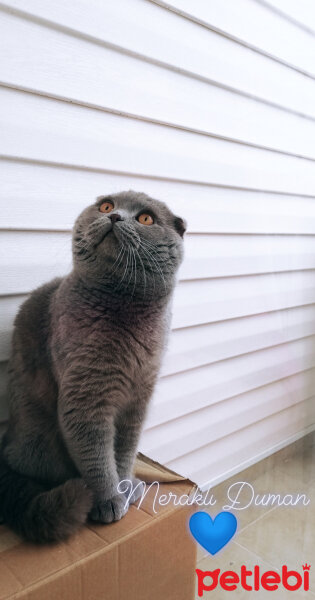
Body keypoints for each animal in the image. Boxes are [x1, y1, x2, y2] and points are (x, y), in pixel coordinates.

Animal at [0, 192, 185, 544]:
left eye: (146, 219)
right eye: (106, 206)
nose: (115, 217)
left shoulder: (138, 399)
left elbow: (124, 449)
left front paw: (125, 486)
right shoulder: (86, 396)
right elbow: (97, 453)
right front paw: (110, 500)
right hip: (39, 442)